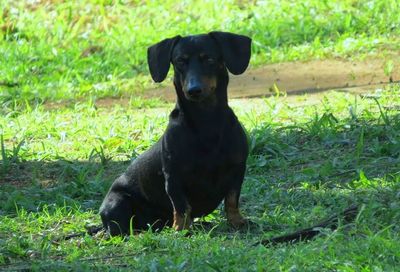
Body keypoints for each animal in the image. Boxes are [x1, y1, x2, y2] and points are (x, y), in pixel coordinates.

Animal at [99, 31, 252, 236]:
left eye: (209, 59)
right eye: (180, 61)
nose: (194, 90)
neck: (206, 122)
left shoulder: (237, 169)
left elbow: (232, 200)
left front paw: (237, 222)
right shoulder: (173, 177)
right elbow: (181, 206)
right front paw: (181, 229)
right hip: (117, 202)